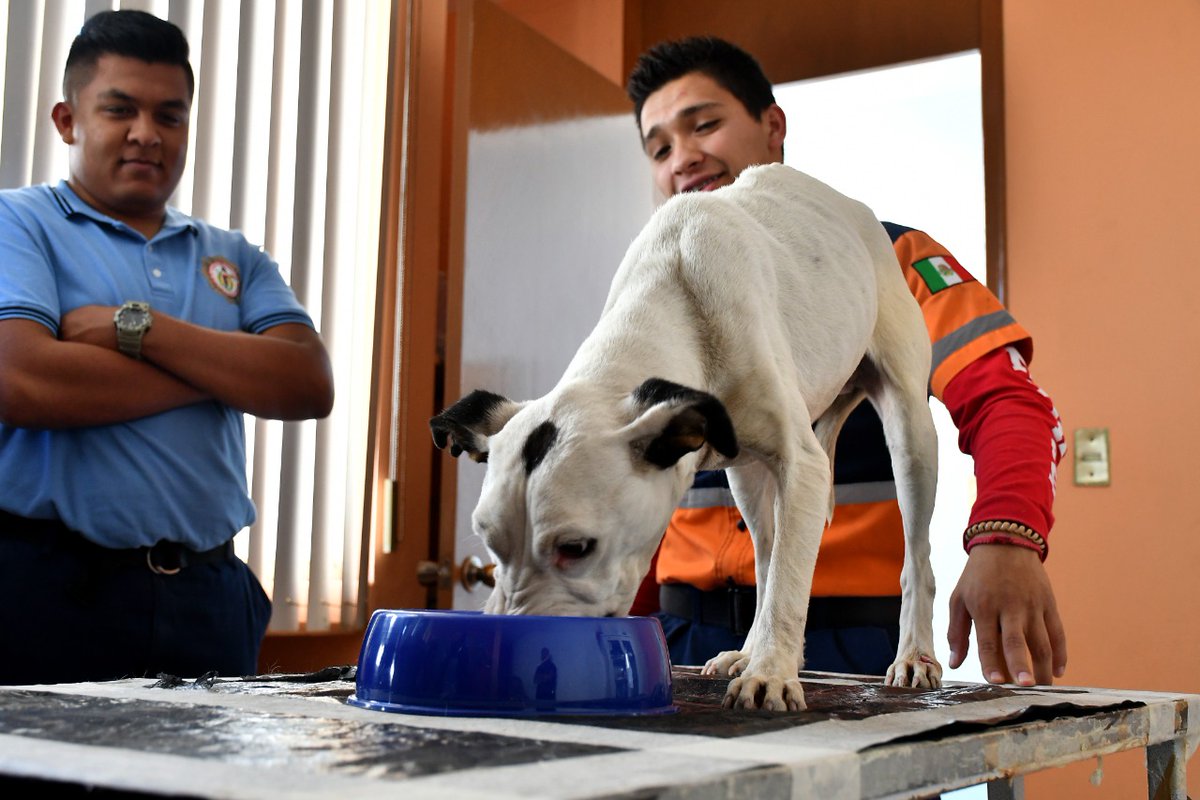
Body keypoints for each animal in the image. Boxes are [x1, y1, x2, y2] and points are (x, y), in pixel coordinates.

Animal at [436, 164, 940, 714]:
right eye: (490, 541)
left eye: (576, 547)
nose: (511, 650)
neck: (676, 295)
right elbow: (776, 572)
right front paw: (764, 660)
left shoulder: (802, 465)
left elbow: (788, 583)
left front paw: (771, 673)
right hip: (747, 479)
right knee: (768, 554)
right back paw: (749, 650)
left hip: (911, 436)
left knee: (913, 557)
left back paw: (912, 653)